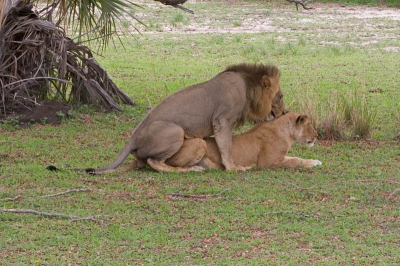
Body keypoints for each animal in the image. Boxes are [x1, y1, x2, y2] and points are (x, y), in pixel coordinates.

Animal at [57, 63, 288, 174]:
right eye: (280, 97)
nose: (285, 113)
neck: (248, 88)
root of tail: (132, 139)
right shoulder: (222, 121)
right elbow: (226, 147)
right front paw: (233, 168)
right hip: (175, 131)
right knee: (154, 162)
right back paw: (187, 170)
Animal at [162, 111, 322, 170]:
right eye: (310, 126)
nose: (317, 136)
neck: (287, 133)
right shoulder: (268, 162)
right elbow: (295, 161)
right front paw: (312, 163)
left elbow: (295, 157)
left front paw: (315, 160)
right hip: (199, 144)